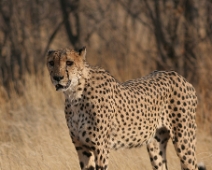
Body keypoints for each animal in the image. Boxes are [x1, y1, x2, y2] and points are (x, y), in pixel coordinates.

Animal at [46, 46, 205, 170]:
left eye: (69, 62)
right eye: (51, 63)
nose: (57, 78)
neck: (74, 94)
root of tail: (179, 76)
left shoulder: (101, 147)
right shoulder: (82, 147)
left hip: (184, 139)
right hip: (155, 144)